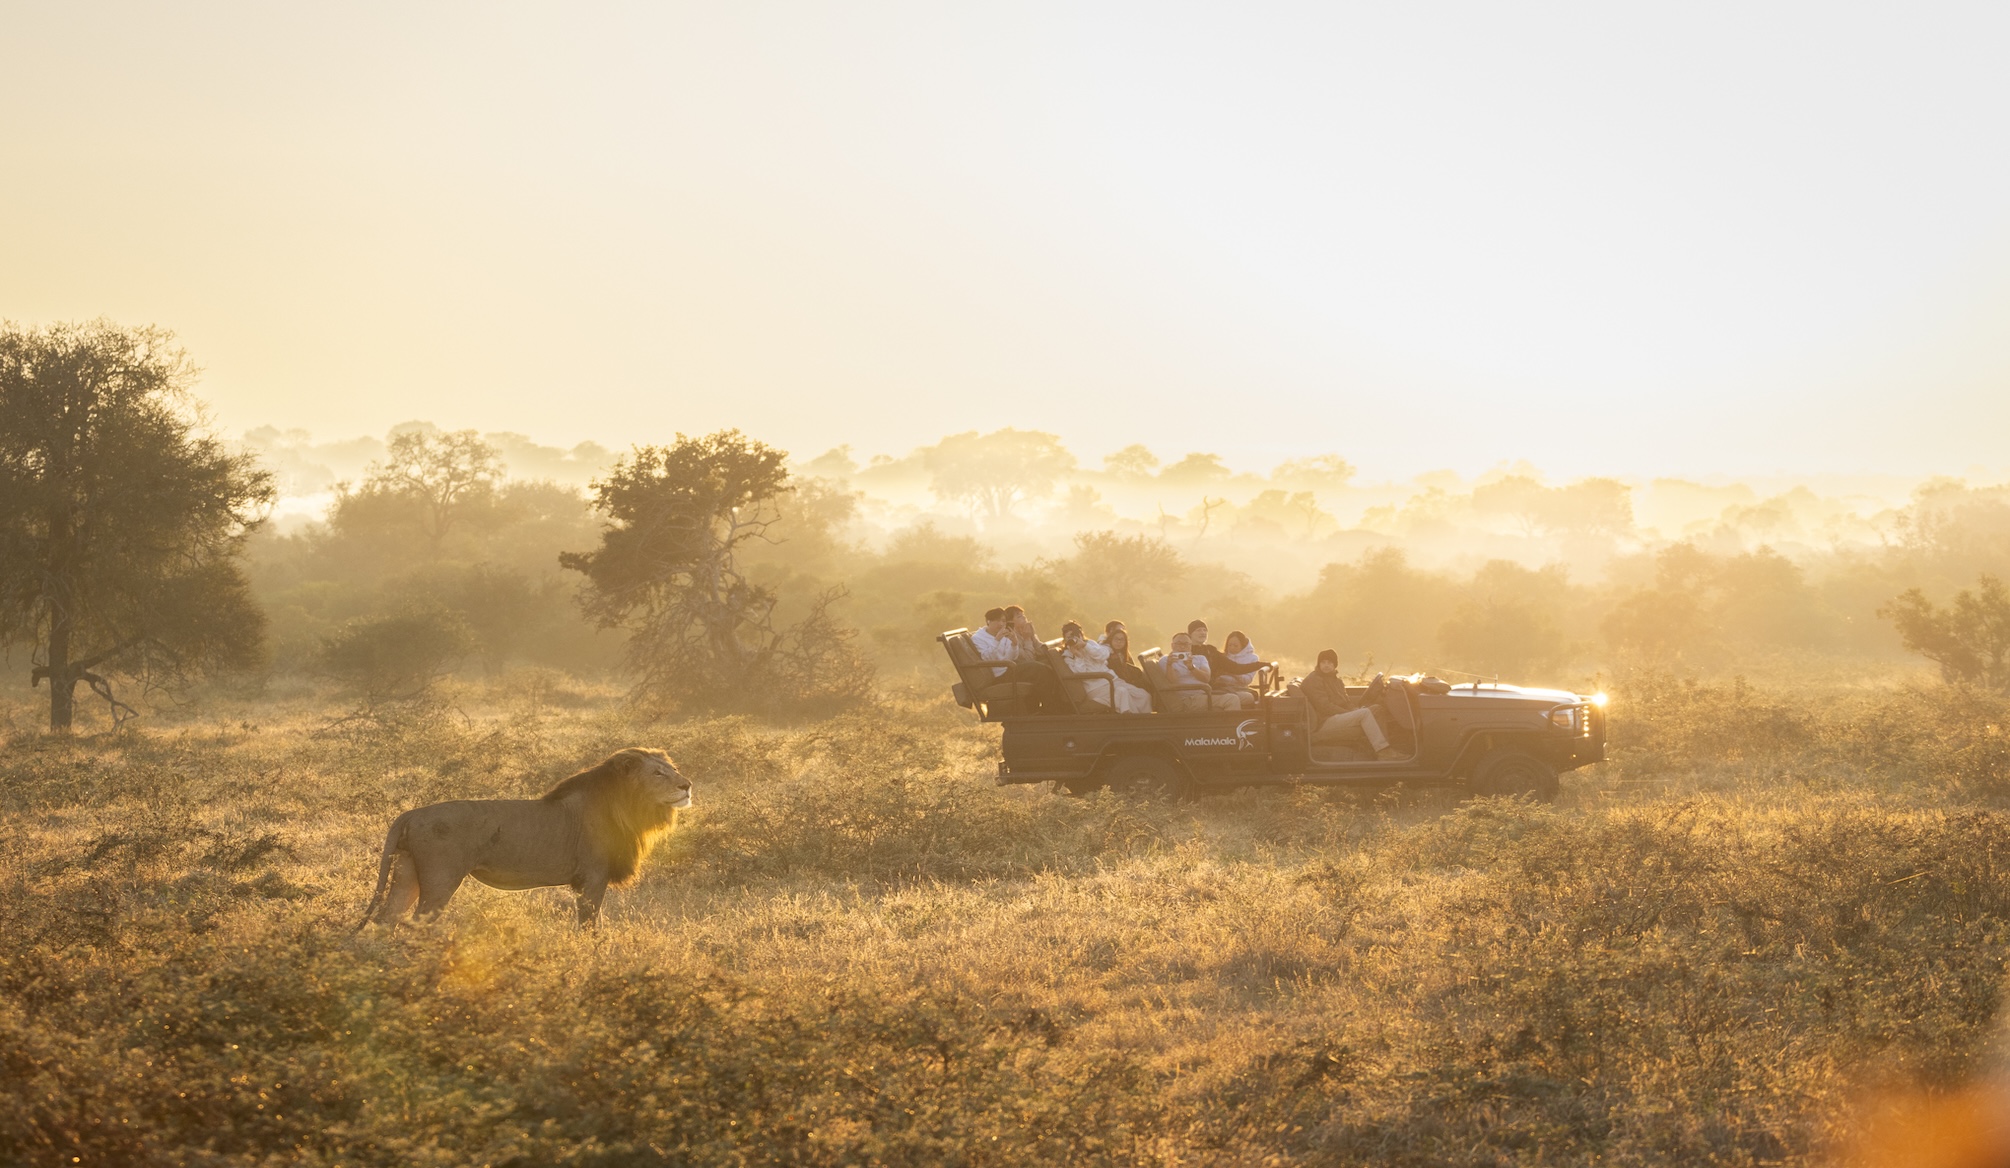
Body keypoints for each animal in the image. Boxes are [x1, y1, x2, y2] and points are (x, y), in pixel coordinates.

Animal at [359, 747, 691, 927]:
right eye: (658, 774)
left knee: (387, 918)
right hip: (440, 878)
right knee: (417, 923)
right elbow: (589, 925)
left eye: (673, 768)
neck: (627, 807)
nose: (687, 785)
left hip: (406, 871)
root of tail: (411, 813)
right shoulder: (592, 877)